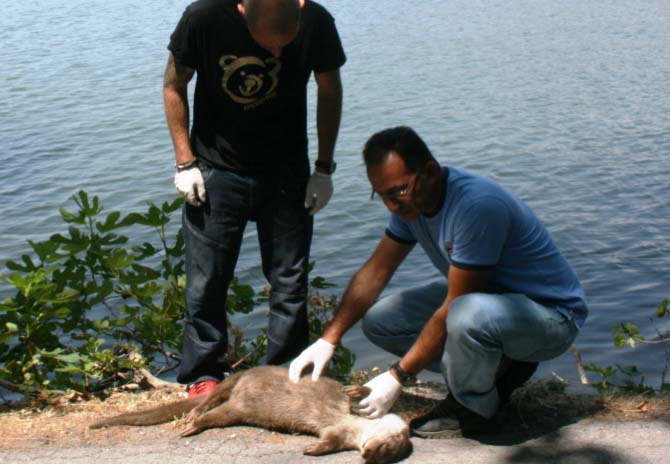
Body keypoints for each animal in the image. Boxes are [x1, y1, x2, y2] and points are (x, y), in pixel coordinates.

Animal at [92, 366, 412, 464]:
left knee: (215, 413)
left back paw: (192, 423)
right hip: (239, 380)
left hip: (237, 409)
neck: (357, 427)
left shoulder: (340, 434)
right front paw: (357, 390)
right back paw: (192, 417)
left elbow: (329, 441)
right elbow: (356, 393)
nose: (367, 454)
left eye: (384, 453)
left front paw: (311, 449)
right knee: (214, 398)